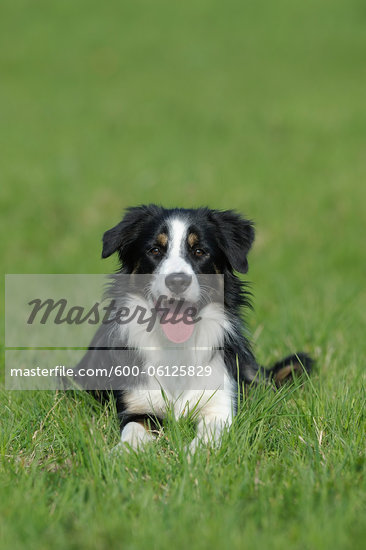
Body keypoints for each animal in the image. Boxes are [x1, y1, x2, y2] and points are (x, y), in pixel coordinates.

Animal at [73, 207, 312, 452]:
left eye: (199, 251)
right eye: (155, 250)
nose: (177, 281)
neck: (176, 349)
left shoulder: (219, 407)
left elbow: (208, 436)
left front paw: (193, 456)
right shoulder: (138, 406)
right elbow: (133, 432)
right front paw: (123, 453)